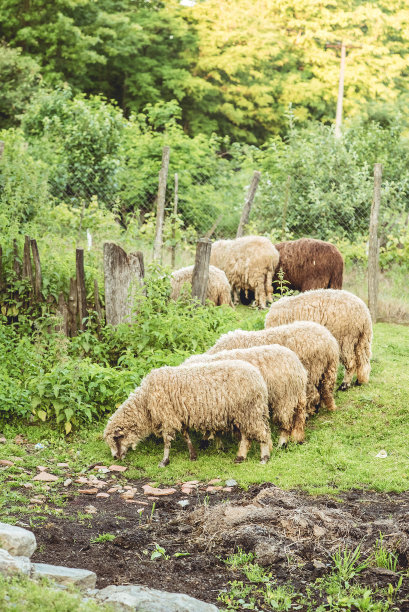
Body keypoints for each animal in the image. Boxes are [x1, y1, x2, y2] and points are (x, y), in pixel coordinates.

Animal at [103, 360, 272, 466]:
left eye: (116, 439)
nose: (115, 457)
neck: (145, 402)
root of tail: (259, 378)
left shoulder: (167, 416)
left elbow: (167, 441)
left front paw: (164, 461)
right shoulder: (179, 416)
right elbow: (186, 436)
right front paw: (193, 455)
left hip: (250, 410)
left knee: (261, 434)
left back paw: (264, 458)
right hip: (245, 413)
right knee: (246, 437)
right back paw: (240, 457)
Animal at [206, 320, 340, 416]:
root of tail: (330, 342)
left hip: (311, 371)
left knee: (313, 394)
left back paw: (310, 411)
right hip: (328, 369)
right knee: (326, 389)